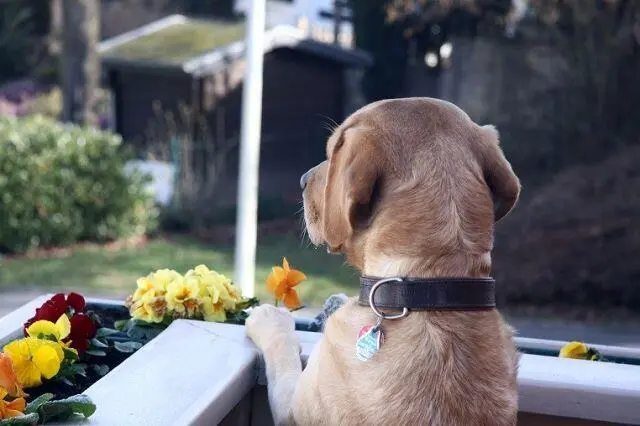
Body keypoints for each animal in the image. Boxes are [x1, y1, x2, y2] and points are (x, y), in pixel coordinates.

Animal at [245, 97, 520, 426]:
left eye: (333, 151)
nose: (302, 180)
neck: (427, 284)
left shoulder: (292, 409)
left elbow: (282, 349)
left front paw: (269, 318)